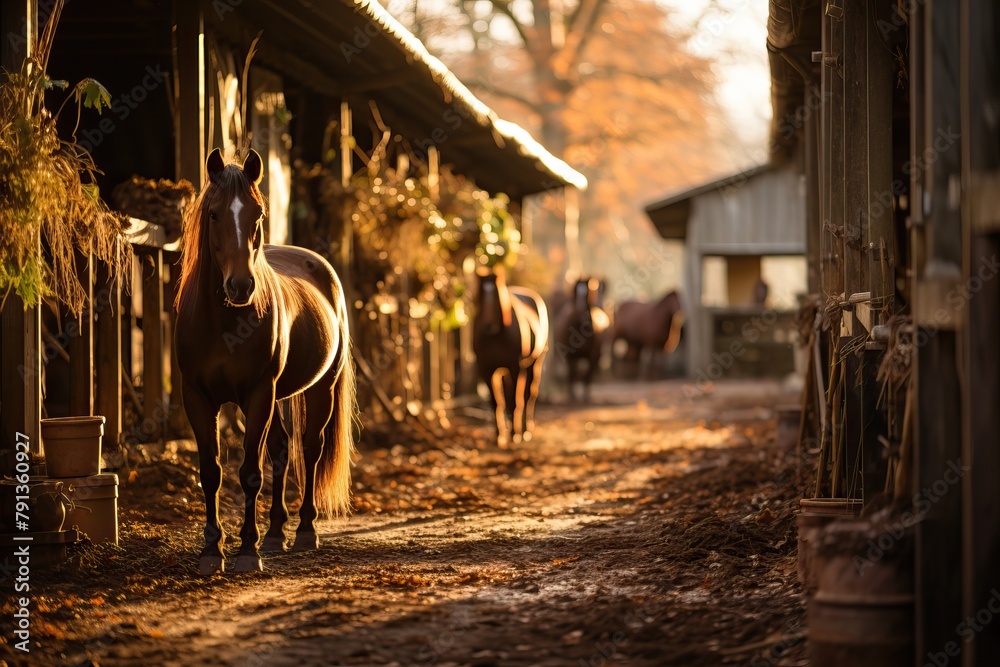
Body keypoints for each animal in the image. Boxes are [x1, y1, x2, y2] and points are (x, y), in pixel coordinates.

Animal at [174, 148, 357, 575]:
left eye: (257, 215)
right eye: (214, 214)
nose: (241, 286)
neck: (223, 323)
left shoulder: (258, 393)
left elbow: (250, 473)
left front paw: (247, 551)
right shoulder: (198, 397)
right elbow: (211, 473)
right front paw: (212, 551)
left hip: (319, 389)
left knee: (309, 449)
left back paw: (304, 531)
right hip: (277, 397)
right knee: (282, 450)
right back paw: (275, 534)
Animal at [473, 270, 548, 444]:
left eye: (496, 296)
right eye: (481, 296)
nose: (488, 326)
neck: (495, 337)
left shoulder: (515, 367)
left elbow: (515, 401)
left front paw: (515, 434)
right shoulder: (486, 370)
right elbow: (496, 402)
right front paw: (499, 434)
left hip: (534, 364)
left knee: (528, 396)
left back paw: (525, 430)